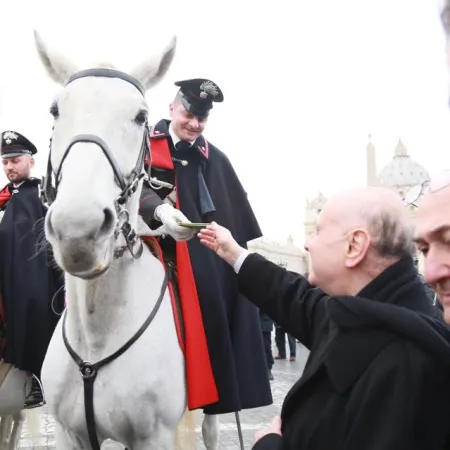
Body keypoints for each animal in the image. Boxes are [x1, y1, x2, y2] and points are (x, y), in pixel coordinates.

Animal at [33, 32, 220, 450]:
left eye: (140, 116)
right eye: (54, 110)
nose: (78, 229)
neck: (96, 337)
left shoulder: (153, 437)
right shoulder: (71, 434)